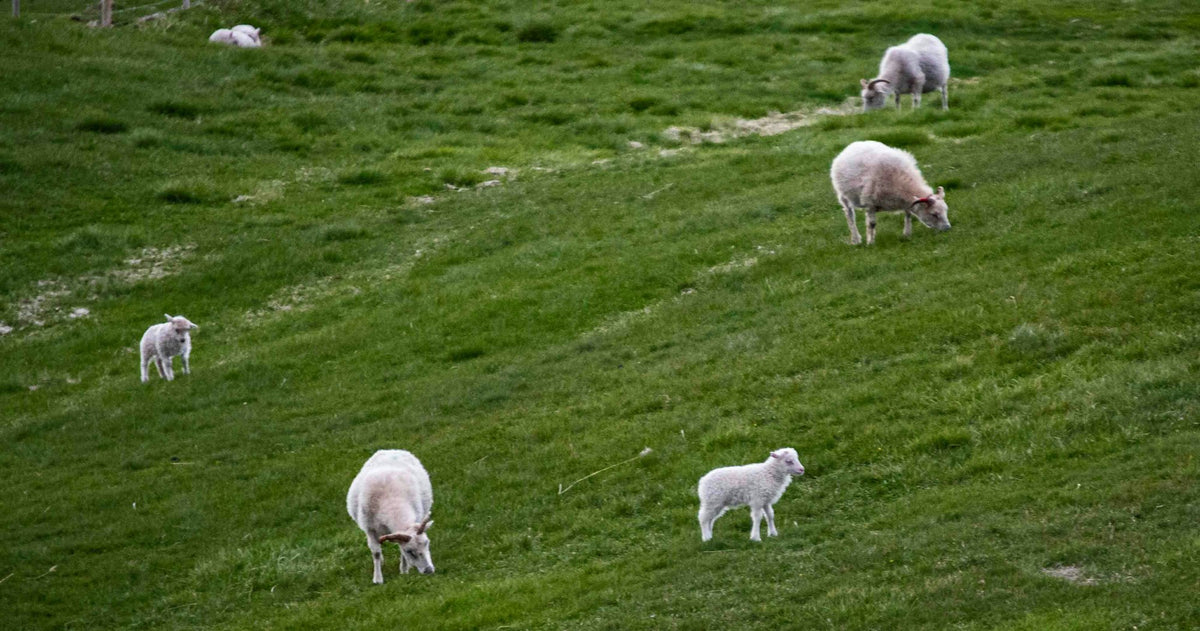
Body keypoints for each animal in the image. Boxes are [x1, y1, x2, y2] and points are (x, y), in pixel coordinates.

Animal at [346, 449, 436, 584]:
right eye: (409, 551)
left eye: (427, 543)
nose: (429, 570)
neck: (393, 505)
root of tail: (392, 450)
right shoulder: (370, 529)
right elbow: (376, 552)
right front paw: (378, 579)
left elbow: (399, 549)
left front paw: (404, 570)